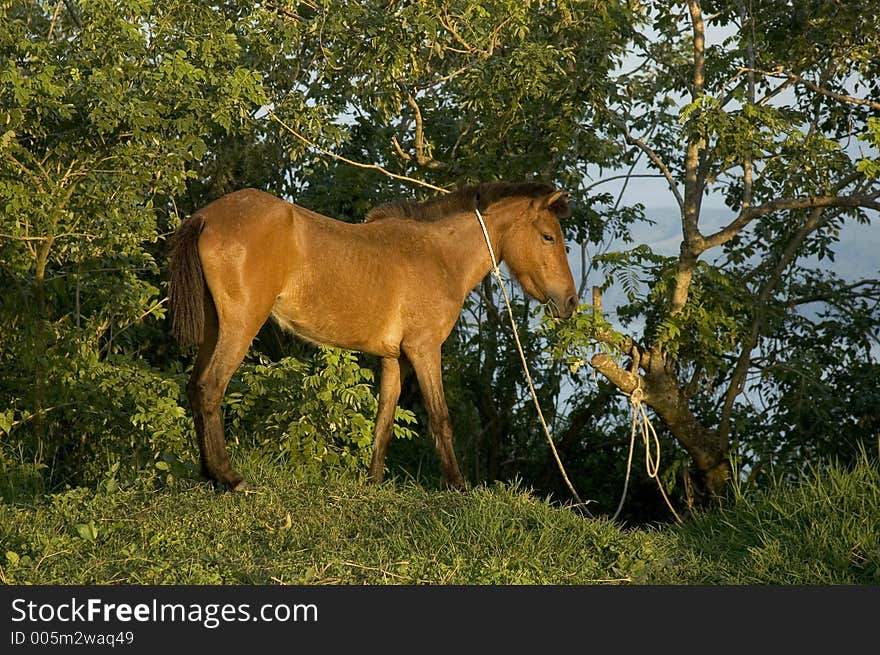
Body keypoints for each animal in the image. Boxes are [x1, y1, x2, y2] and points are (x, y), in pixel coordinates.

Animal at [168, 182, 576, 490]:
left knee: (196, 387)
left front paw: (373, 482)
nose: (570, 301)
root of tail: (207, 217)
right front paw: (458, 486)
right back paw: (229, 477)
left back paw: (209, 474)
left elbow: (384, 420)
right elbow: (440, 418)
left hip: (216, 327)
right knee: (211, 387)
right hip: (240, 326)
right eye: (548, 237)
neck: (439, 256)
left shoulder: (395, 359)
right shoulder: (424, 350)